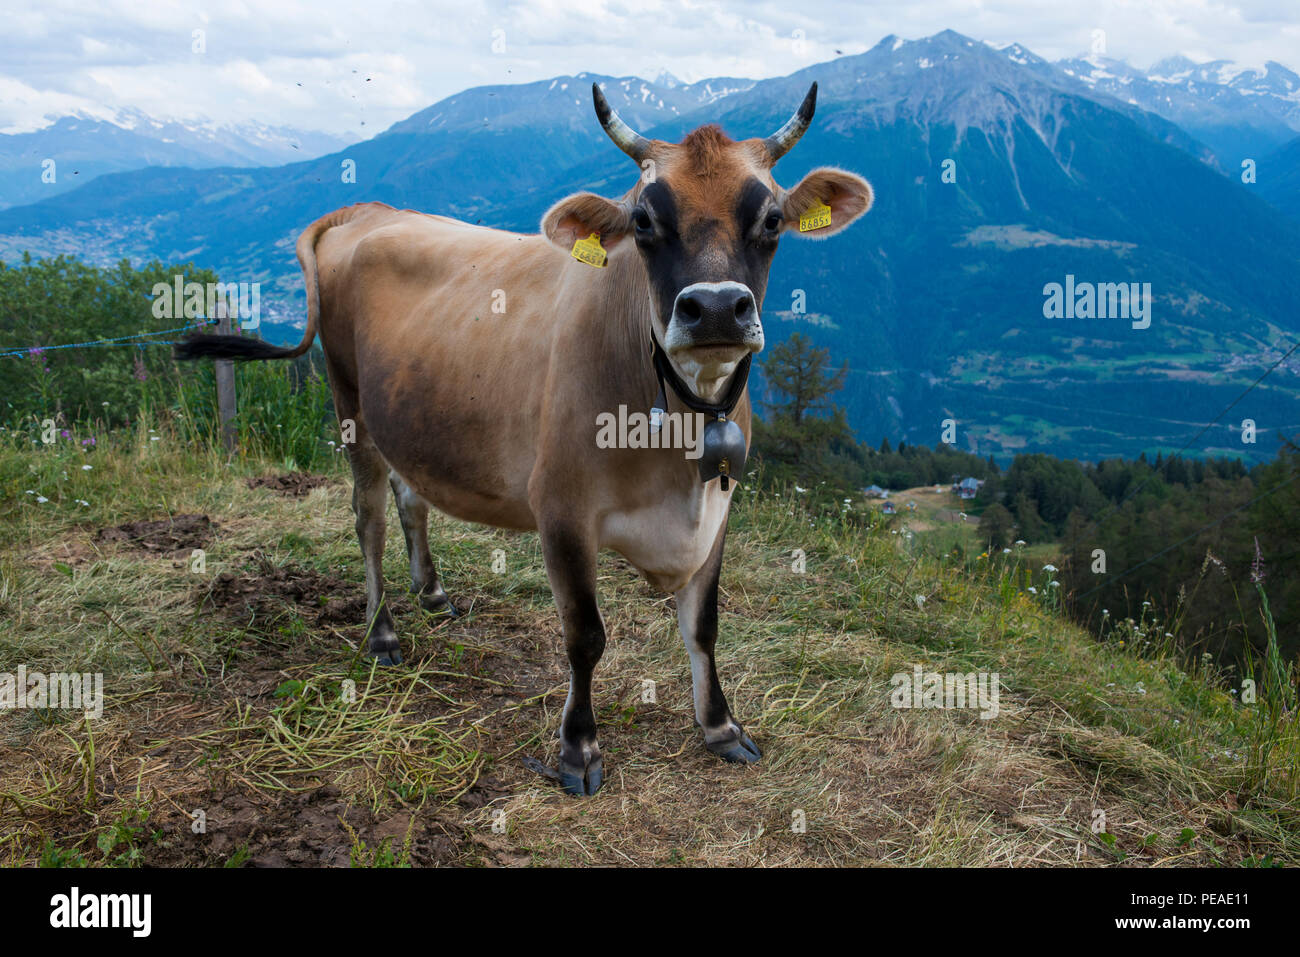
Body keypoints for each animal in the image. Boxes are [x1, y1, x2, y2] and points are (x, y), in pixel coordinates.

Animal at [176, 82, 873, 795]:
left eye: (771, 220)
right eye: (643, 222)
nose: (712, 310)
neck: (682, 432)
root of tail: (367, 210)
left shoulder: (719, 505)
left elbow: (703, 624)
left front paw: (721, 726)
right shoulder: (560, 508)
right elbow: (585, 635)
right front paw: (579, 748)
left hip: (412, 415)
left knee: (410, 495)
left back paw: (432, 591)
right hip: (350, 404)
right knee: (368, 518)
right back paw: (381, 634)